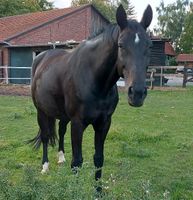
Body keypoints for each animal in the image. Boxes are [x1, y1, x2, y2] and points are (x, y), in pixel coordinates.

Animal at [29, 5, 152, 181]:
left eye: (149, 46)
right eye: (121, 45)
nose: (137, 93)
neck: (95, 81)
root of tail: (41, 58)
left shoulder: (104, 123)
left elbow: (99, 159)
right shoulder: (78, 123)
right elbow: (77, 162)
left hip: (63, 115)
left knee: (60, 130)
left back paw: (61, 157)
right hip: (41, 111)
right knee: (45, 136)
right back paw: (45, 166)